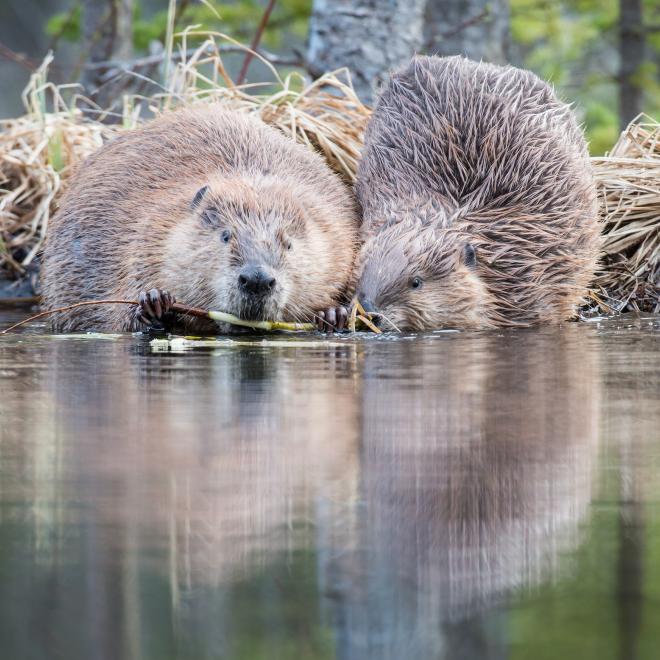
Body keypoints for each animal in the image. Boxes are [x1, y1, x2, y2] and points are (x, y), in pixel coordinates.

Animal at [40, 109, 360, 336]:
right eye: (225, 235)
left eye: (289, 244)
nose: (256, 279)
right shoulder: (146, 241)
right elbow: (121, 316)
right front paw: (155, 304)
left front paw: (333, 316)